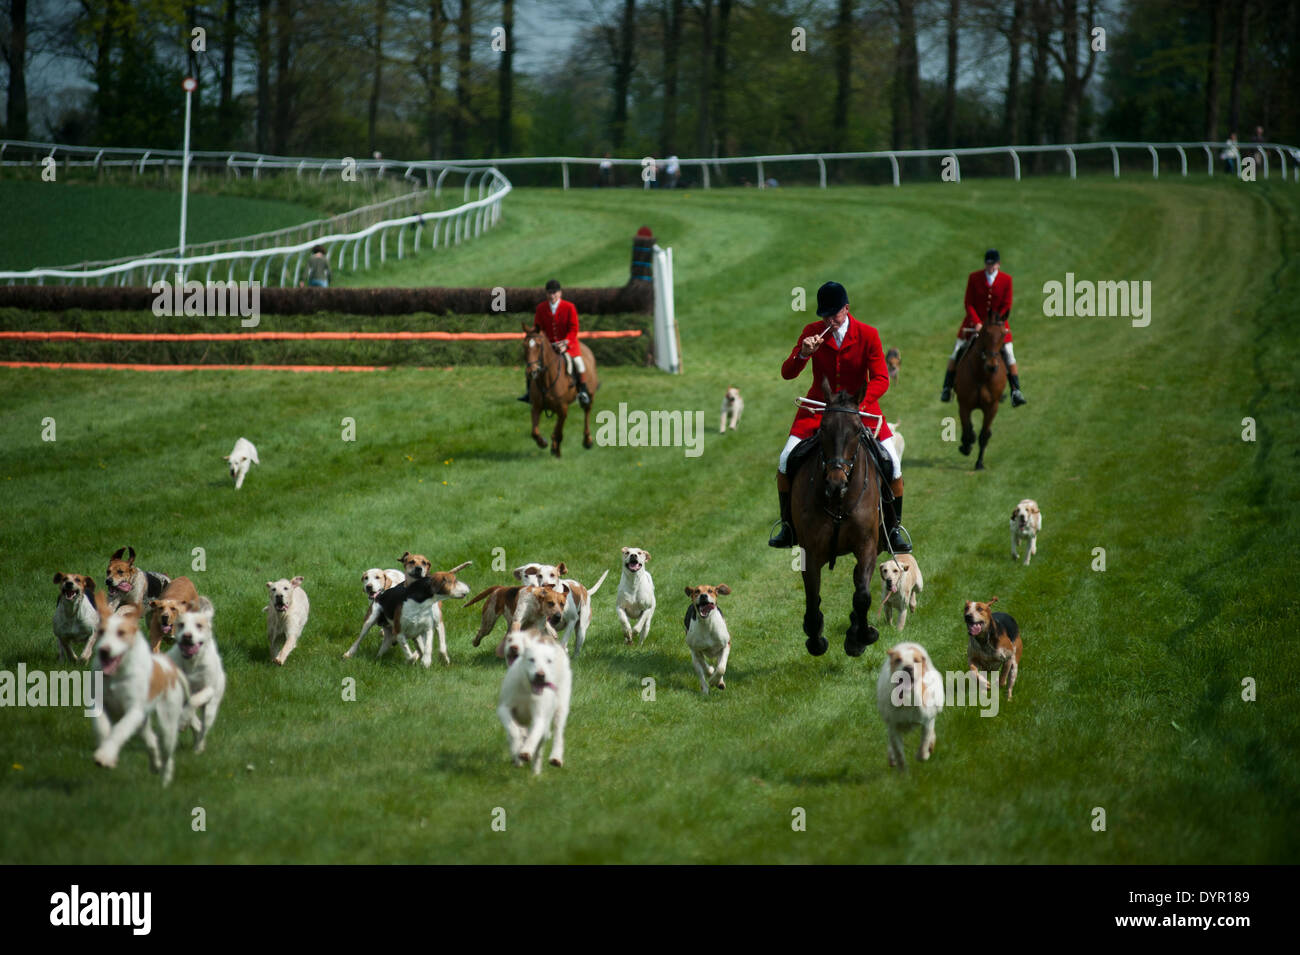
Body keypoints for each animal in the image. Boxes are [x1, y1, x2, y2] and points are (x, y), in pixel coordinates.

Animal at [522, 324, 598, 459]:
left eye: (538, 345)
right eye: (524, 345)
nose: (532, 371)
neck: (546, 379)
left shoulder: (563, 408)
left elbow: (558, 432)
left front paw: (555, 450)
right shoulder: (536, 407)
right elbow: (534, 432)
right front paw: (543, 442)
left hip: (590, 395)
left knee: (587, 412)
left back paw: (587, 440)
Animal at [780, 379, 883, 657]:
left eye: (858, 429)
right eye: (823, 427)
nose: (836, 483)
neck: (839, 500)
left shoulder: (867, 545)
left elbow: (862, 595)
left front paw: (863, 636)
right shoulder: (811, 551)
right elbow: (812, 599)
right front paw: (816, 639)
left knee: (859, 582)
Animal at [951, 311, 1008, 472]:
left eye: (1003, 334)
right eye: (986, 333)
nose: (991, 366)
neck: (981, 375)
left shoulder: (991, 407)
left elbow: (984, 435)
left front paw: (979, 463)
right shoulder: (964, 405)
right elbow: (967, 430)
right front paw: (966, 446)